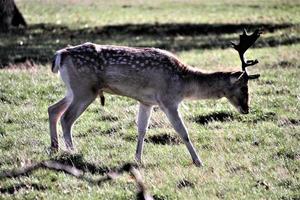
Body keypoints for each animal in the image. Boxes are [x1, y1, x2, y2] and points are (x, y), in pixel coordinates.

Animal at [48, 30, 260, 167]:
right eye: (244, 86)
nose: (246, 109)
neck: (184, 83)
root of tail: (60, 55)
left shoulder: (146, 101)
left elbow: (142, 129)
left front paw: (138, 159)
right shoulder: (168, 100)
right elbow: (183, 131)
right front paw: (198, 161)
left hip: (74, 90)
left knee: (53, 109)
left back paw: (55, 148)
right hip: (84, 89)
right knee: (66, 118)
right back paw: (72, 152)